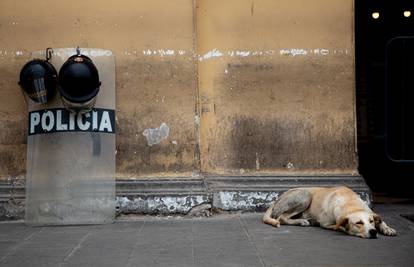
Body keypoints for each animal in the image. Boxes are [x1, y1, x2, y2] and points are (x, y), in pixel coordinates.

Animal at [264, 186, 396, 239]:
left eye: (371, 221)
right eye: (358, 223)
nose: (373, 232)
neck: (350, 204)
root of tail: (278, 198)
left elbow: (382, 221)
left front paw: (388, 229)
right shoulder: (326, 224)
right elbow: (339, 226)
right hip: (305, 195)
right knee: (281, 218)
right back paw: (302, 221)